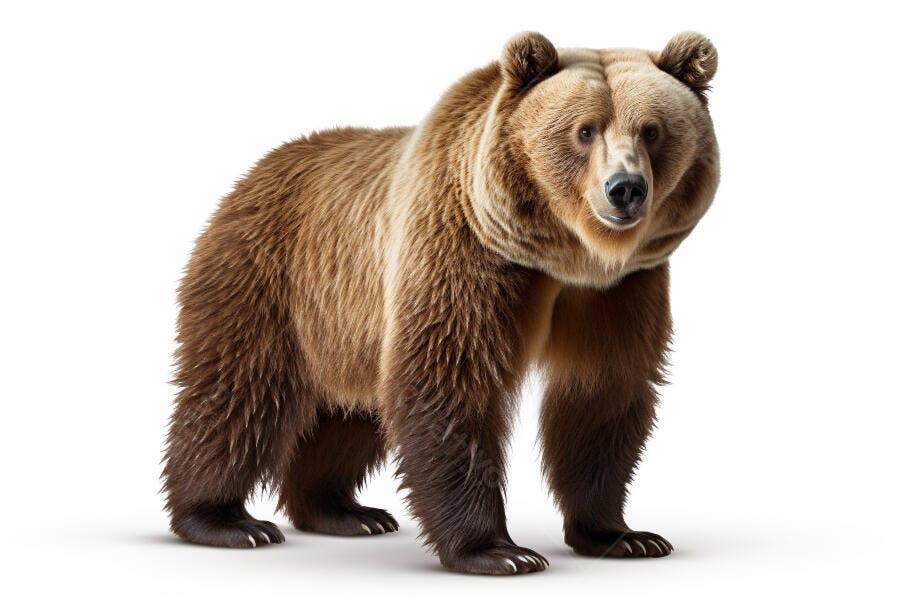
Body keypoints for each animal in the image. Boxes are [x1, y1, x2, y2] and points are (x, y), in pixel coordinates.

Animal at [162, 31, 719, 575]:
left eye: (651, 130)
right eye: (585, 130)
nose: (625, 189)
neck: (564, 256)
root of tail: (255, 170)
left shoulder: (619, 290)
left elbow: (602, 392)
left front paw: (623, 535)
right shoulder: (461, 252)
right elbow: (449, 379)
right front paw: (498, 550)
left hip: (347, 326)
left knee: (352, 412)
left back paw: (343, 511)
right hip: (268, 275)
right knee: (238, 390)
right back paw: (225, 520)